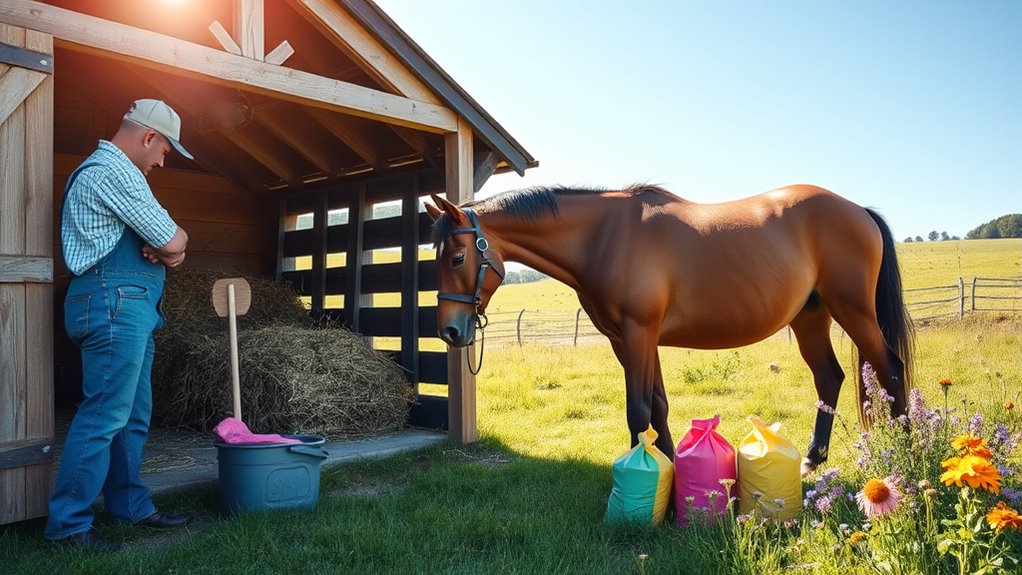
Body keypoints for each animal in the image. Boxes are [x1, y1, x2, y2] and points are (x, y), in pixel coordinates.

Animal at [425, 184, 914, 472]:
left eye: (457, 257)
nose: (449, 333)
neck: (605, 236)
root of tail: (859, 210)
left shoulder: (639, 332)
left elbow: (638, 409)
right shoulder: (629, 339)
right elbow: (657, 405)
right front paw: (669, 465)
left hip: (853, 311)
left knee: (890, 369)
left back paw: (907, 451)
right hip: (811, 316)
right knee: (831, 377)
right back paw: (814, 459)